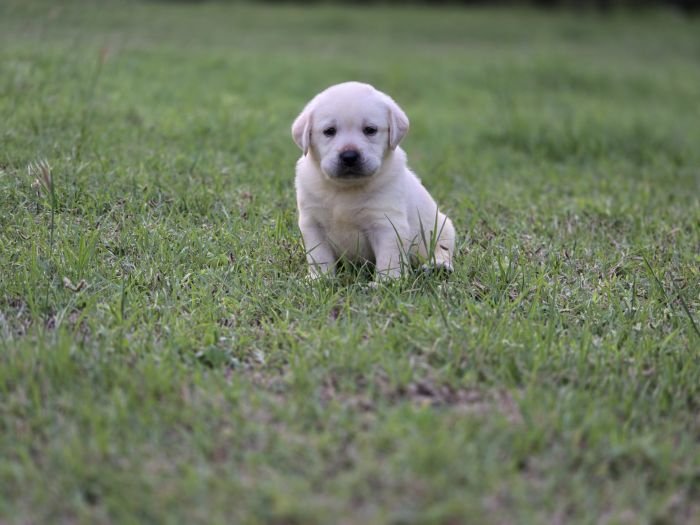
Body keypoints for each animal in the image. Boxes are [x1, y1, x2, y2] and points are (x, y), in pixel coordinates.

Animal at [290, 81, 454, 278]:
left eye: (370, 130)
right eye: (329, 131)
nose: (349, 156)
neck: (345, 189)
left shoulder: (387, 224)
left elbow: (388, 258)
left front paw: (386, 281)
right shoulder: (312, 224)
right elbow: (319, 257)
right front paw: (318, 279)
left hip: (442, 228)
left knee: (443, 250)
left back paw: (438, 266)